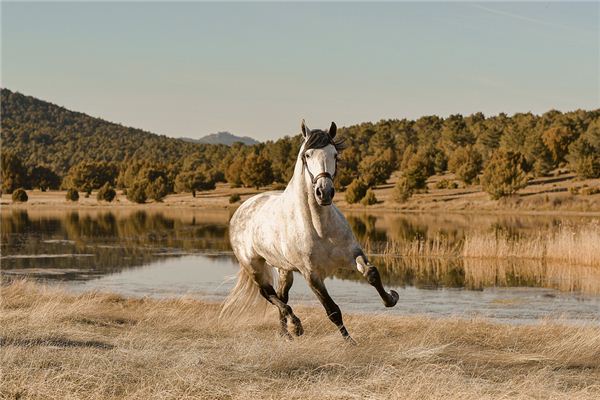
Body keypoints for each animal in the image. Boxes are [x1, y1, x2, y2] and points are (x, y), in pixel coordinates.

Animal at [220, 119, 398, 340]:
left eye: (335, 155)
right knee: (268, 294)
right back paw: (295, 326)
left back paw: (286, 334)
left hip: (284, 270)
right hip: (254, 266)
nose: (324, 192)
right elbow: (332, 311)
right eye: (307, 155)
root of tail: (242, 208)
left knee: (281, 296)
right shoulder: (311, 275)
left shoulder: (351, 254)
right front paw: (351, 343)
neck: (319, 227)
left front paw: (390, 298)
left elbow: (372, 273)